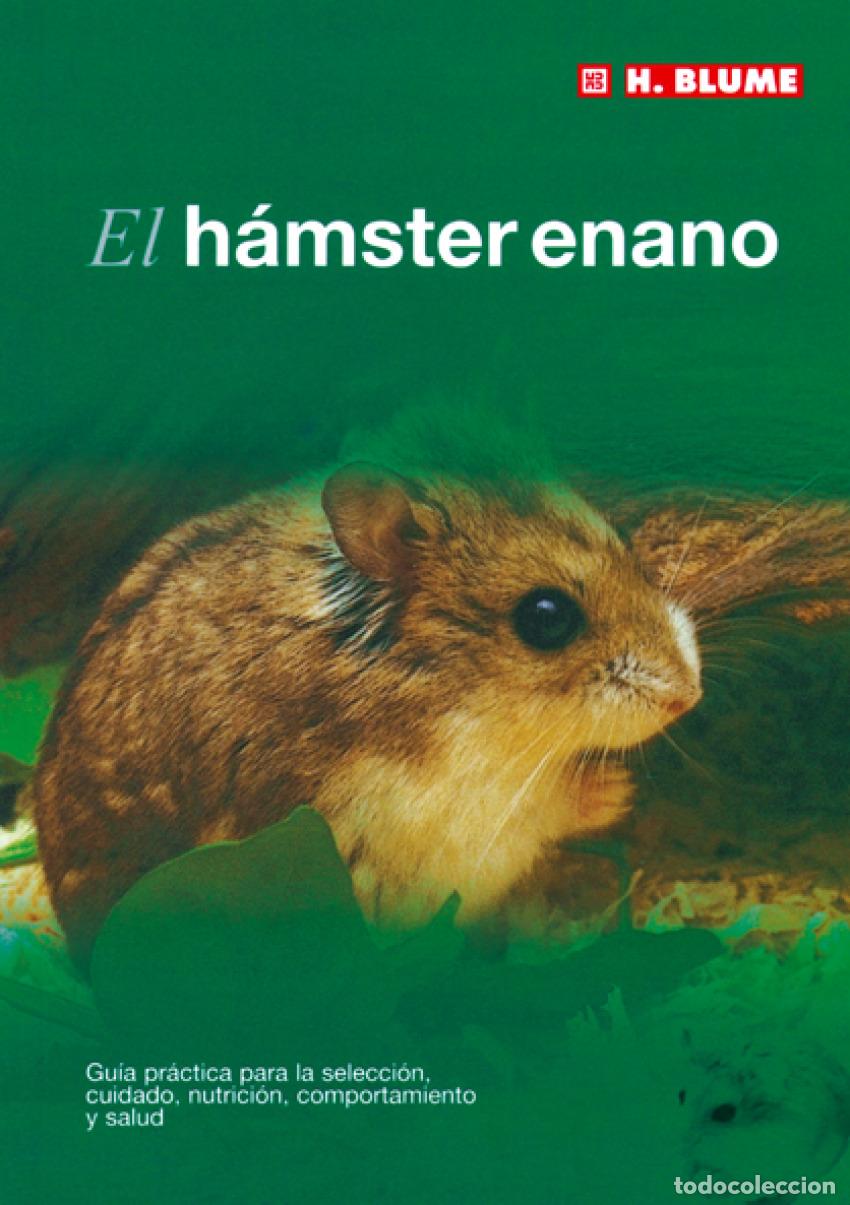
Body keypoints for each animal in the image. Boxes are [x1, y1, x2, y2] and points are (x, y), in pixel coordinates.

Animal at [32, 463, 702, 970]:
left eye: (626, 543)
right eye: (546, 617)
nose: (689, 694)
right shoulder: (449, 826)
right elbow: (547, 809)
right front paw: (618, 789)